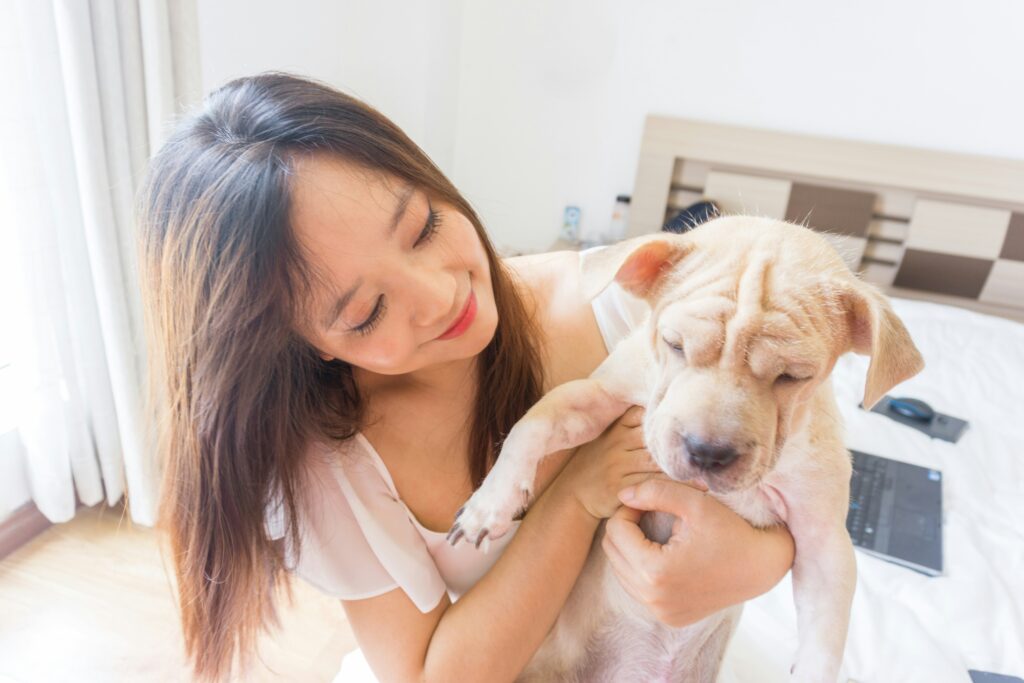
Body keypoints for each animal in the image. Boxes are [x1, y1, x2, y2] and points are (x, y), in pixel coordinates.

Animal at [444, 216, 925, 679]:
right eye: (674, 344)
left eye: (793, 377)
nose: (707, 452)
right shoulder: (597, 396)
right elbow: (534, 422)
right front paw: (490, 504)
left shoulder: (824, 537)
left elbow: (827, 628)